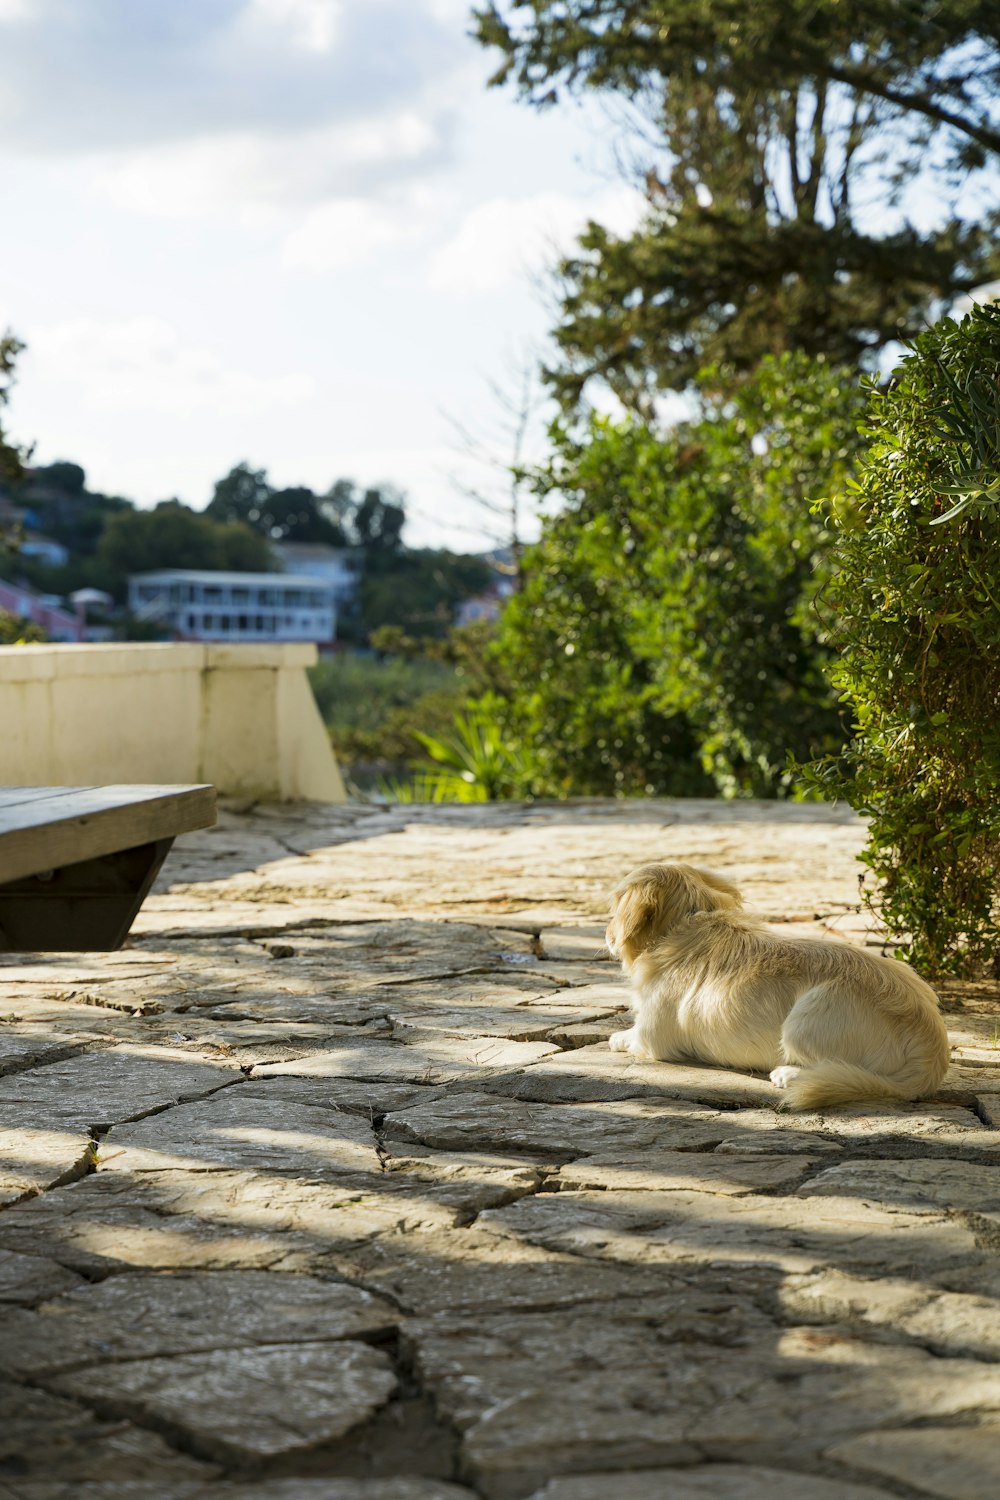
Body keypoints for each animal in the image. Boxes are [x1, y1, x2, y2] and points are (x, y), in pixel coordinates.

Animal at [605, 858, 953, 1116]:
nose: (607, 934)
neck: (688, 921)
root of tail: (931, 1052)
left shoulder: (651, 1037)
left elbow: (624, 1036)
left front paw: (616, 1037)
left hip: (805, 1017)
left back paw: (788, 1074)